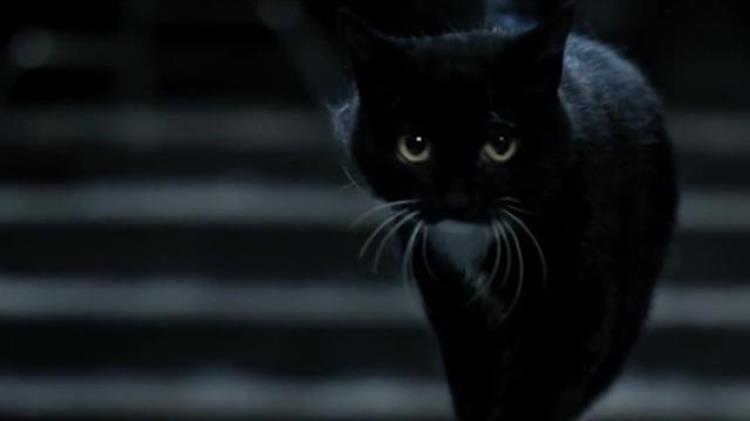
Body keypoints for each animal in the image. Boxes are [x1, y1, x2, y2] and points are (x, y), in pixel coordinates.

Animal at [335, 3, 678, 420]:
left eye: (501, 144)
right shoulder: (454, 310)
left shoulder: (583, 314)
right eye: (414, 146)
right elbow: (473, 386)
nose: (457, 198)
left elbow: (545, 384)